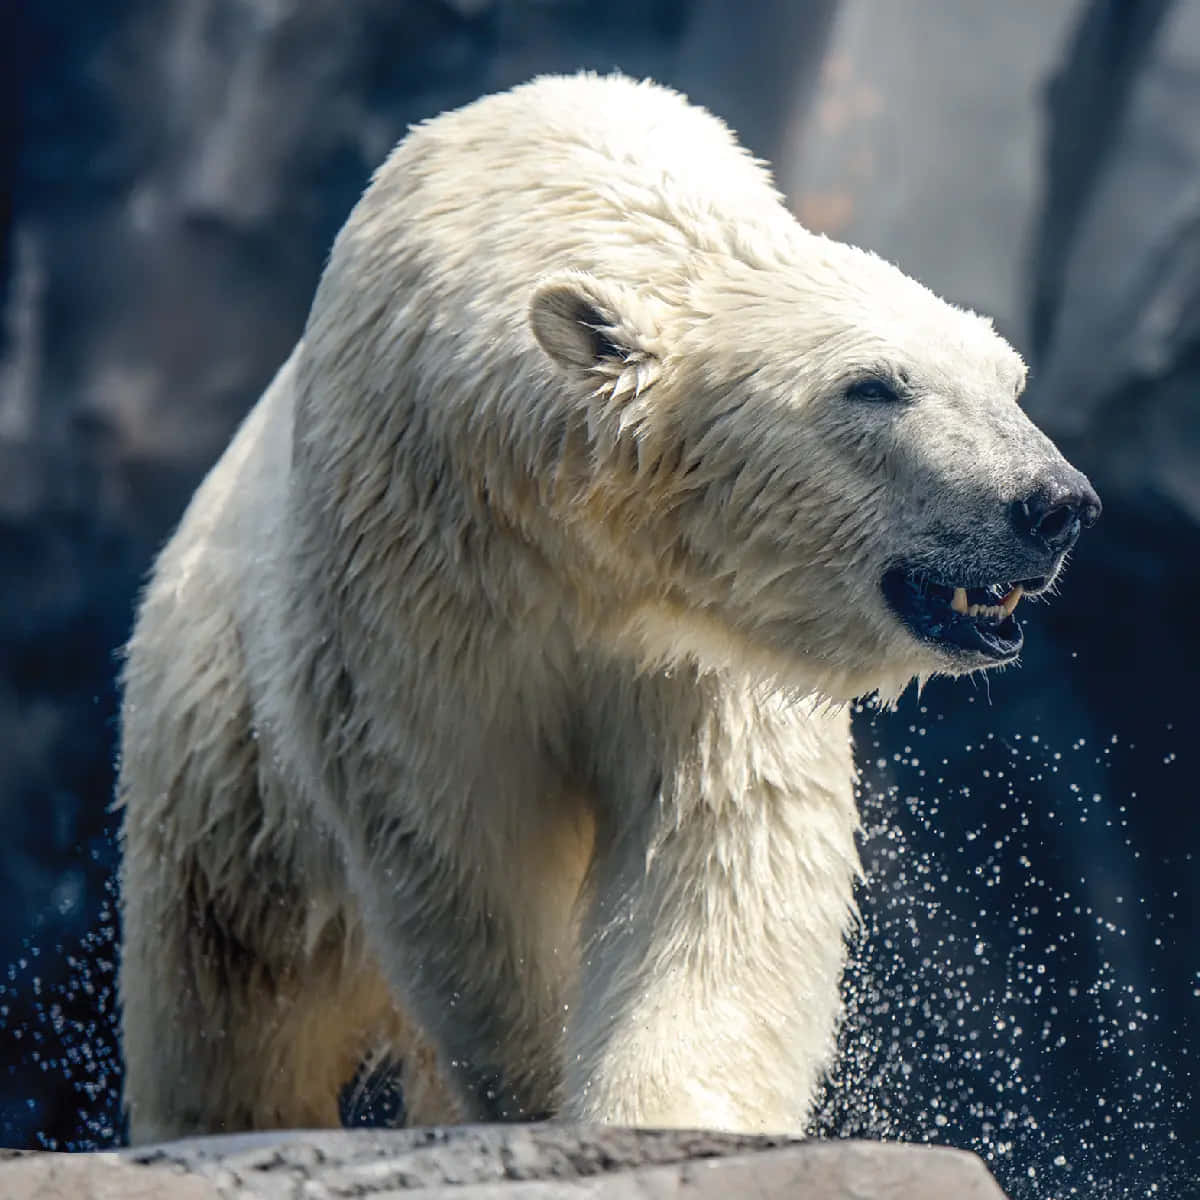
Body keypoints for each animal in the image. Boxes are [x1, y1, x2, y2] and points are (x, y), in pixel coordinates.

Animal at [116, 72, 1100, 1143]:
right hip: (221, 737)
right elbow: (462, 851)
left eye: (1010, 380)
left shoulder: (700, 642)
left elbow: (723, 849)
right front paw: (543, 1093)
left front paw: (662, 1113)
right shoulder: (411, 584)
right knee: (235, 986)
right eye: (873, 386)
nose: (1052, 503)